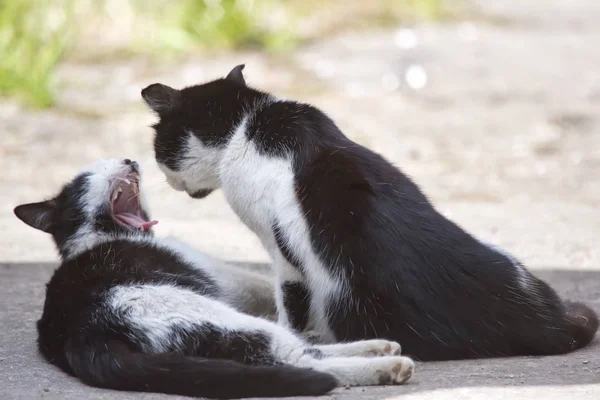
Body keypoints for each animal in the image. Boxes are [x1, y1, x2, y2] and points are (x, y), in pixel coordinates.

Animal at [16, 158, 414, 398]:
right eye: (89, 176)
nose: (128, 161)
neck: (101, 238)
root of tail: (85, 335)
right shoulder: (216, 274)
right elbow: (261, 284)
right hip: (204, 310)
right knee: (299, 358)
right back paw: (387, 367)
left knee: (293, 352)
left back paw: (378, 347)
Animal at [141, 64, 596, 360]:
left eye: (160, 150)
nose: (166, 179)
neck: (248, 125)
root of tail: (542, 322)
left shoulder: (282, 253)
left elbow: (289, 306)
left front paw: (292, 332)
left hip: (341, 297)